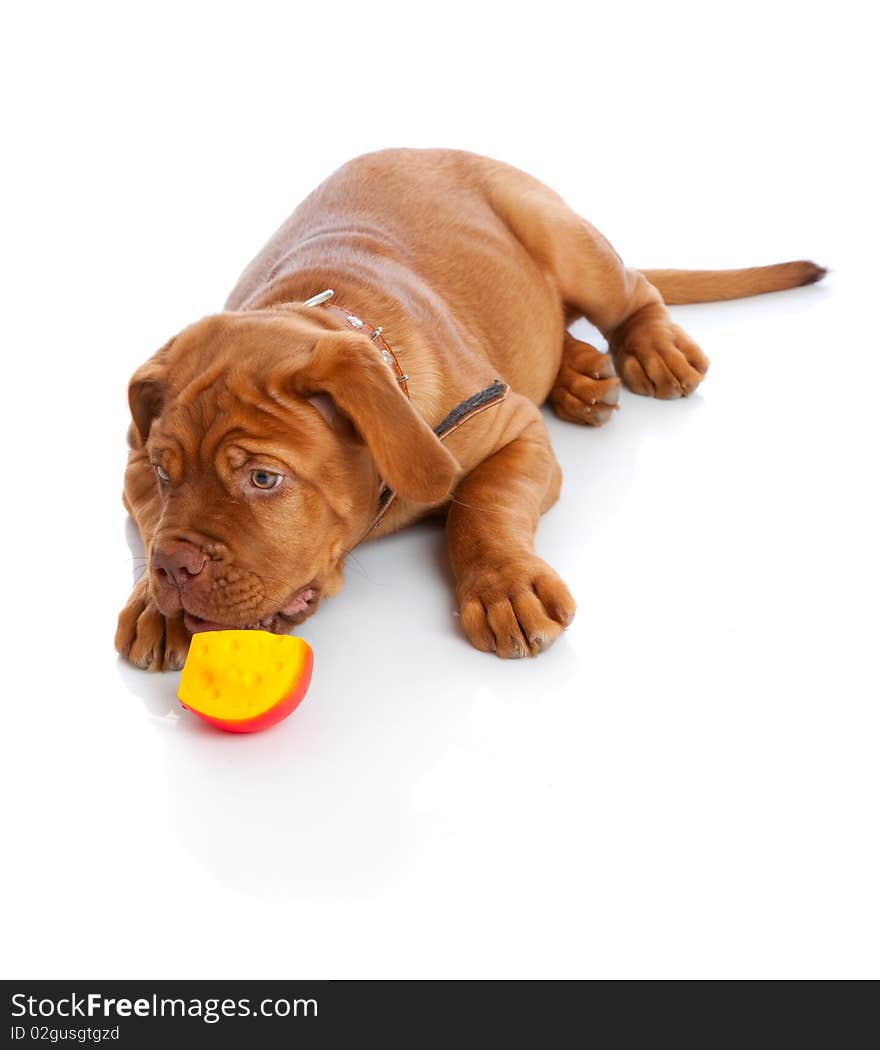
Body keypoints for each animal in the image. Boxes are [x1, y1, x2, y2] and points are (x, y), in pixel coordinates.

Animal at [115, 151, 827, 667]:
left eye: (263, 478)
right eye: (165, 474)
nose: (174, 570)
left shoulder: (514, 430)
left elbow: (483, 505)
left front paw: (506, 586)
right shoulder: (130, 467)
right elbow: (148, 523)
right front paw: (152, 601)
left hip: (567, 240)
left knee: (633, 292)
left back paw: (652, 349)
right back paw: (579, 374)